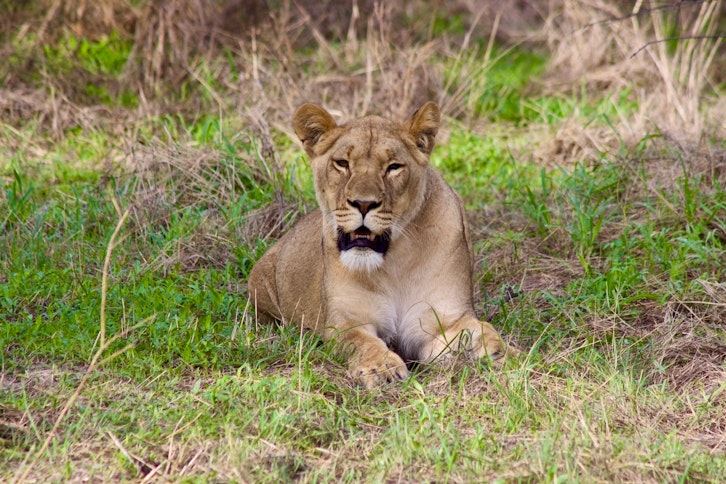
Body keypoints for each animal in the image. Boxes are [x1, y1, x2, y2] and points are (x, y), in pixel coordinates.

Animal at [247, 102, 511, 388]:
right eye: (342, 164)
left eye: (394, 167)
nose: (364, 203)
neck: (393, 264)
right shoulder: (346, 321)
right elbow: (360, 342)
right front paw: (381, 368)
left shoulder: (442, 319)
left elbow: (477, 330)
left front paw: (496, 351)